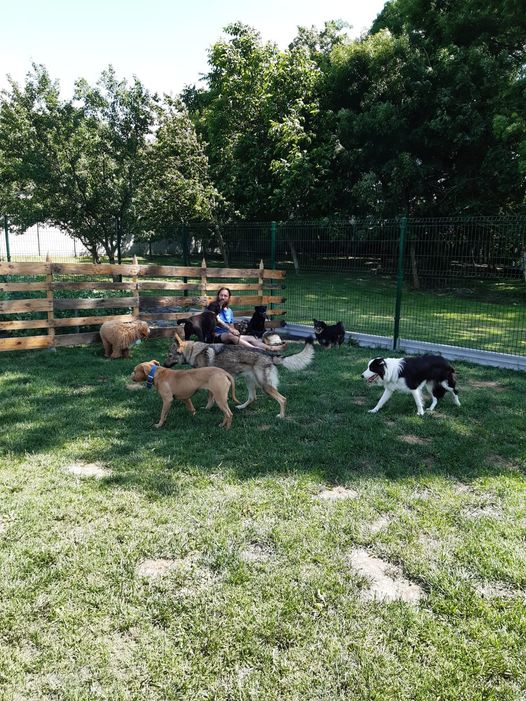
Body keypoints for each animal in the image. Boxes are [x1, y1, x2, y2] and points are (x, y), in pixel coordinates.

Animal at [165, 334, 316, 416]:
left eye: (169, 355)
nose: (164, 365)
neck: (193, 352)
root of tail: (270, 354)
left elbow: (209, 399)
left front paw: (207, 409)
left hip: (265, 386)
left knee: (283, 399)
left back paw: (281, 416)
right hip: (249, 381)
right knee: (253, 398)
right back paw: (240, 407)